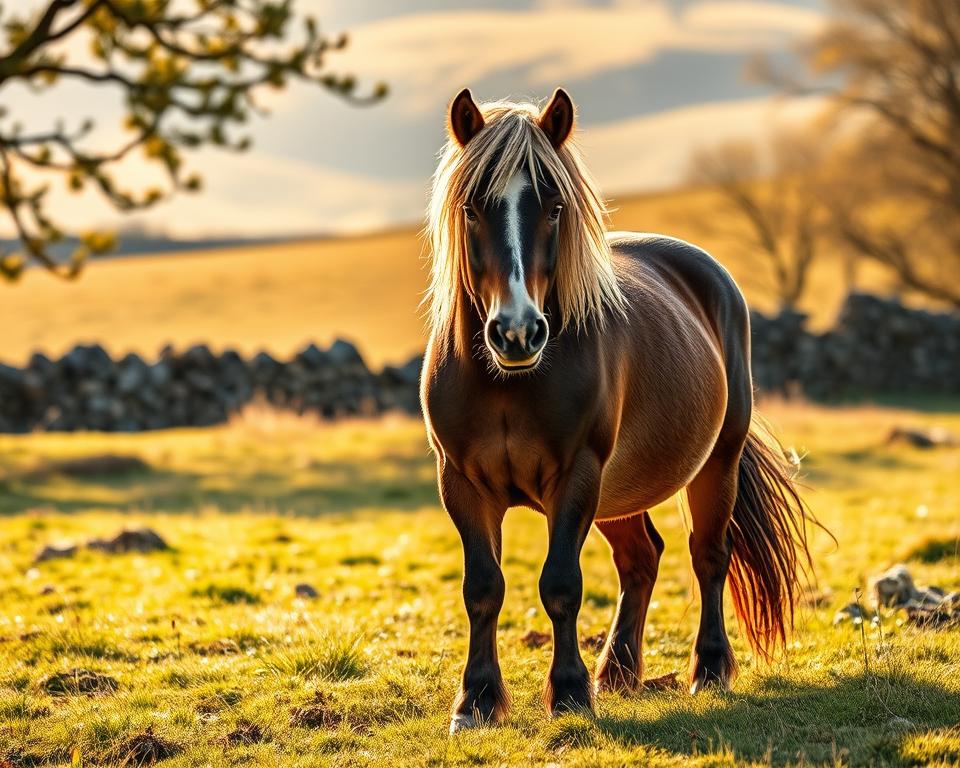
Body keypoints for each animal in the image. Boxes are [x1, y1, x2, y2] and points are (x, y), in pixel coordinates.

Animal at [420, 87, 813, 733]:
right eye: (472, 209)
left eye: (554, 207)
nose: (517, 332)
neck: (508, 384)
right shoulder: (462, 483)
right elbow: (482, 588)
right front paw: (475, 701)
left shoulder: (576, 474)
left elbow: (560, 585)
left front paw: (569, 693)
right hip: (618, 491)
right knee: (641, 560)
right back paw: (619, 672)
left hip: (714, 464)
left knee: (709, 555)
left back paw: (707, 670)